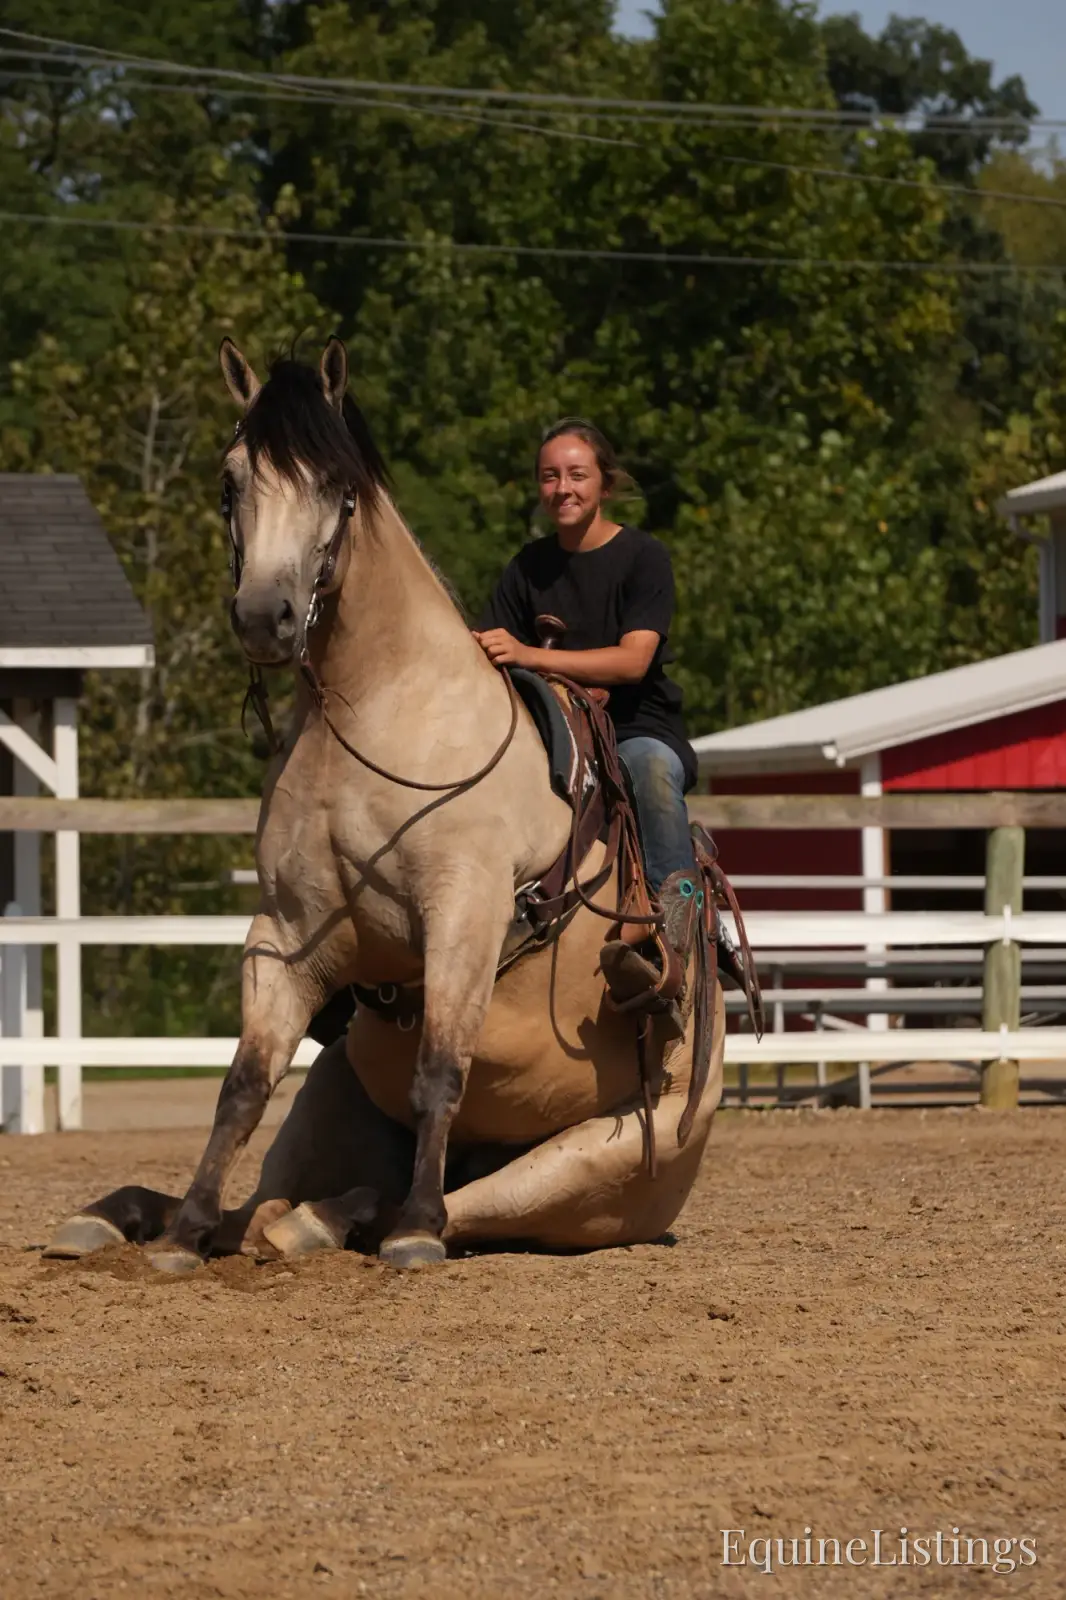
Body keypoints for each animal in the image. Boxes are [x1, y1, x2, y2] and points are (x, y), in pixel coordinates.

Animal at [45, 337, 726, 1273]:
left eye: (337, 485)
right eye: (230, 481)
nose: (264, 617)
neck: (379, 715)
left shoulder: (462, 919)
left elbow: (439, 1069)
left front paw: (413, 1233)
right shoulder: (287, 935)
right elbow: (242, 1084)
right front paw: (181, 1236)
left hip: (585, 1167)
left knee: (459, 1206)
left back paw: (368, 1218)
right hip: (334, 1099)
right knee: (269, 1201)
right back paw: (132, 1215)